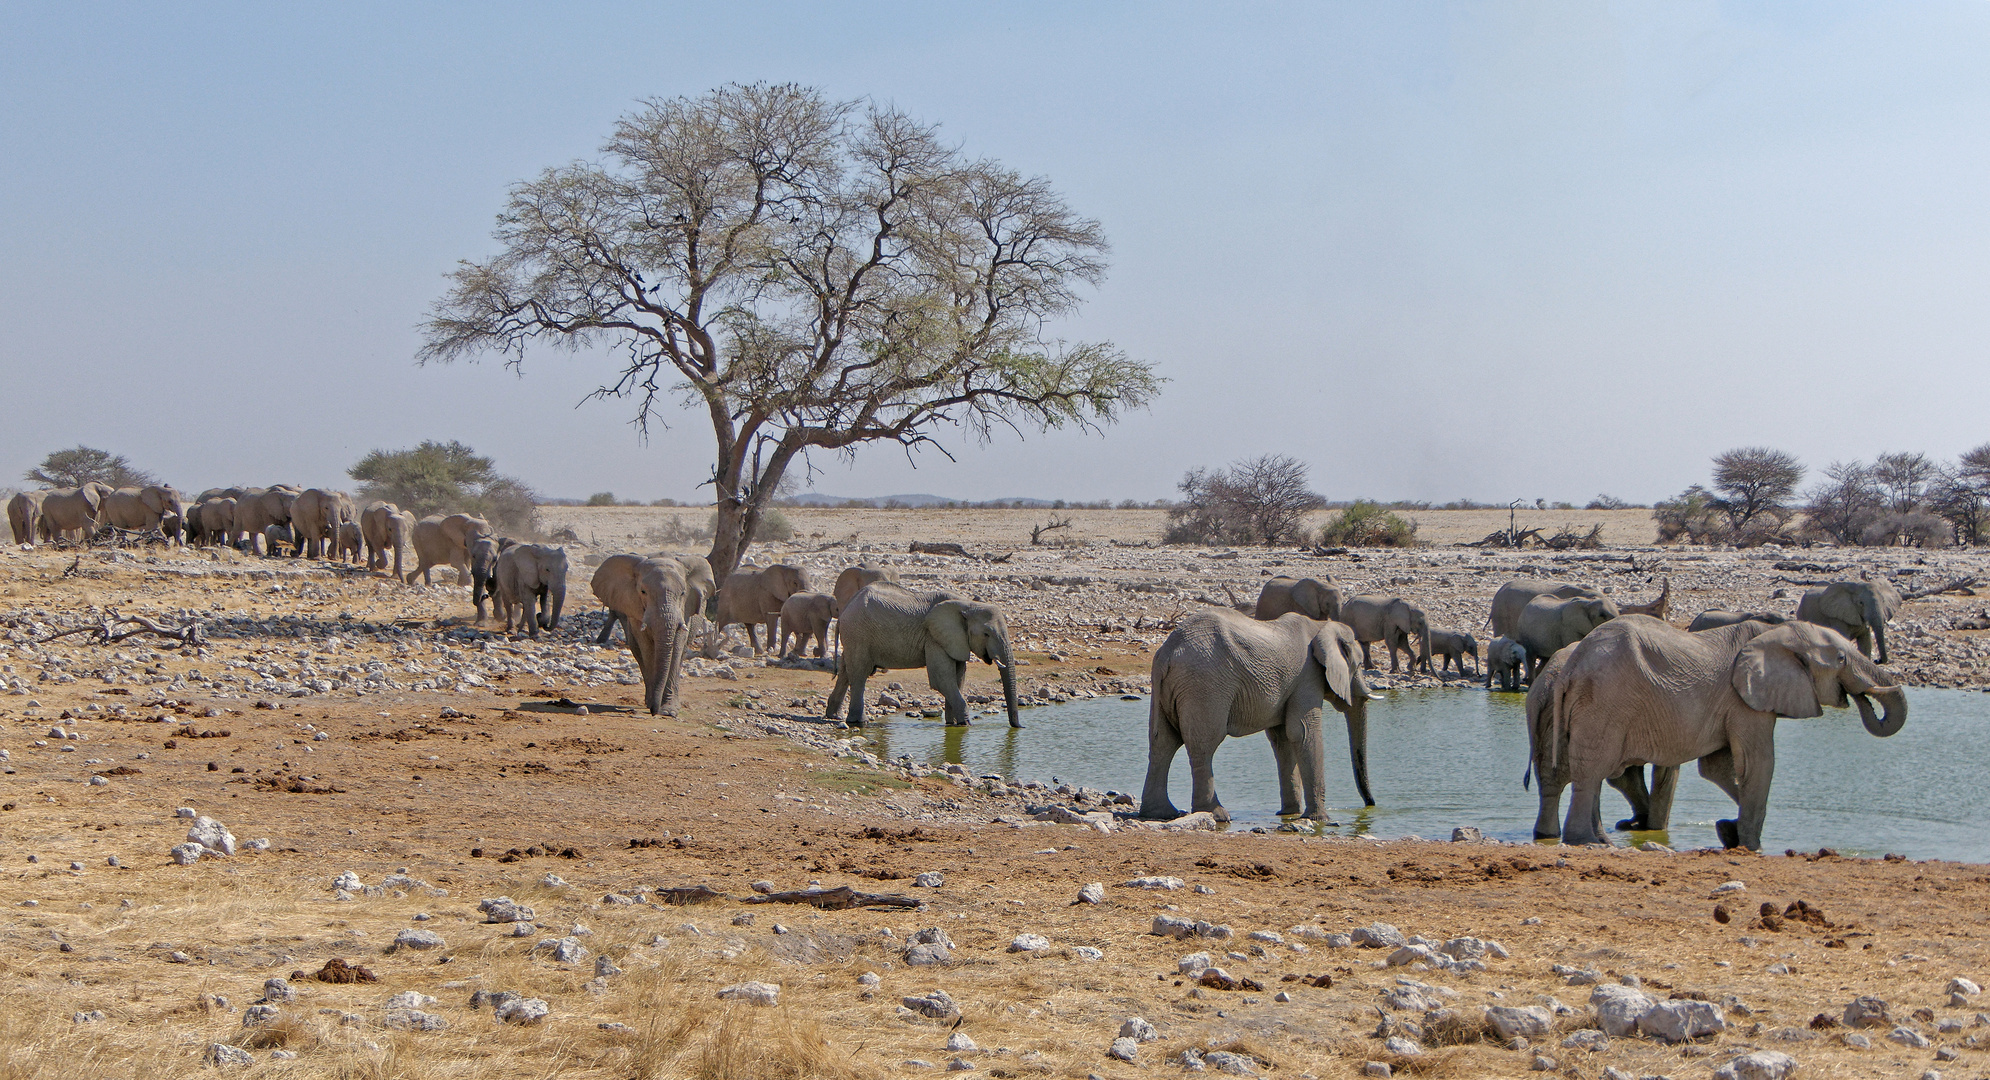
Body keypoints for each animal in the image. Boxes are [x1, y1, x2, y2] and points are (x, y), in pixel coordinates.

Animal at [589, 556, 700, 720]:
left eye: (683, 593)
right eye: (643, 591)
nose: (654, 712)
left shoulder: (685, 610)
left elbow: (677, 647)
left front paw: (669, 711)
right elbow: (646, 646)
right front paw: (654, 705)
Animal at [823, 588, 1018, 731]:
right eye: (986, 634)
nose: (1018, 727)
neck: (967, 604)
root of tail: (844, 611)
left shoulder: (955, 640)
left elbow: (958, 678)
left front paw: (951, 724)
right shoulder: (933, 637)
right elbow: (941, 679)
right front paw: (966, 725)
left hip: (854, 635)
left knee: (846, 671)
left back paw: (835, 716)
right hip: (858, 633)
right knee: (859, 674)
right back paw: (859, 722)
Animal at [1146, 608, 1377, 819]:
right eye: (1359, 665)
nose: (1371, 804)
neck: (1320, 625)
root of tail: (1168, 652)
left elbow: (1282, 739)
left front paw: (1290, 814)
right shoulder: (1307, 676)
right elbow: (1302, 732)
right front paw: (1320, 820)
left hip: (1169, 689)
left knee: (1163, 744)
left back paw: (1161, 813)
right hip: (1204, 685)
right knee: (1204, 744)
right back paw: (1216, 814)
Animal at [1544, 616, 1902, 855]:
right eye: (1841, 658)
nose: (1861, 695)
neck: (1776, 631)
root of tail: (1571, 667)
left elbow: (1716, 768)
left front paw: (1727, 831)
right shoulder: (1744, 700)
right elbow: (1758, 763)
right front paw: (1751, 846)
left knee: (1591, 772)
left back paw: (1600, 841)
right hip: (1604, 703)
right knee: (1593, 771)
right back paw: (1587, 843)